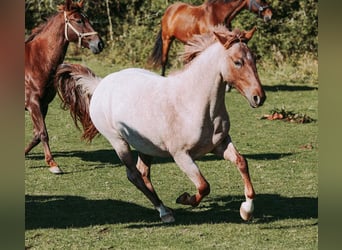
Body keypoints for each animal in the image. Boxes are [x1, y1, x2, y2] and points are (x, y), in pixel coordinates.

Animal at [24, 0, 103, 175]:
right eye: (79, 20)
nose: (100, 44)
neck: (36, 61)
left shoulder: (43, 105)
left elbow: (36, 135)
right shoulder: (33, 103)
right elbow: (43, 133)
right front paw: (53, 164)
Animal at [56, 24, 266, 221]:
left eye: (254, 60)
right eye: (237, 62)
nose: (259, 97)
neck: (195, 103)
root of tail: (99, 84)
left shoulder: (219, 144)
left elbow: (241, 162)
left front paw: (246, 210)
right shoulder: (181, 155)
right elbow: (204, 186)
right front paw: (185, 198)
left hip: (146, 146)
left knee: (143, 173)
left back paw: (163, 208)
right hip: (118, 142)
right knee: (134, 175)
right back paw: (165, 212)